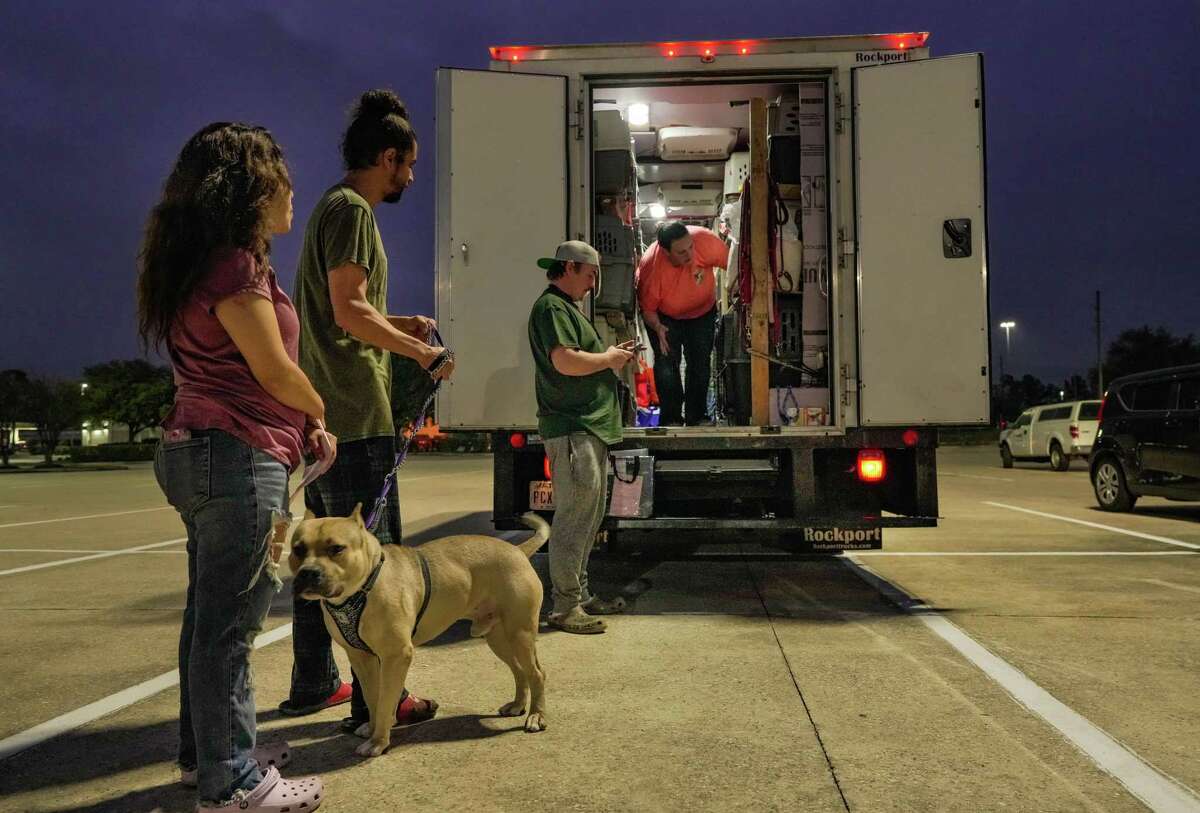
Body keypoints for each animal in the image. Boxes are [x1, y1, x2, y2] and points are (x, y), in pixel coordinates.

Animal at [288, 508, 549, 757]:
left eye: (336, 549)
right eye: (297, 549)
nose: (308, 572)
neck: (363, 587)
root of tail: (518, 551)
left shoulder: (395, 657)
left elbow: (385, 701)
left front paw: (379, 741)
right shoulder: (361, 659)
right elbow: (372, 698)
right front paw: (373, 728)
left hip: (520, 635)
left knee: (536, 673)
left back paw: (536, 716)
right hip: (499, 639)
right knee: (519, 671)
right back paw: (517, 705)